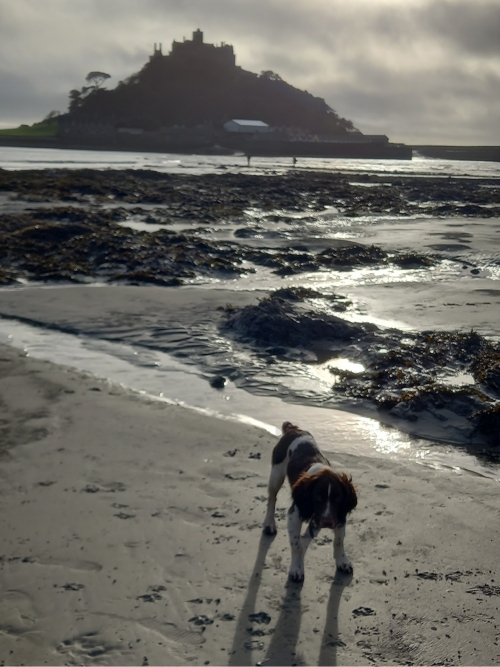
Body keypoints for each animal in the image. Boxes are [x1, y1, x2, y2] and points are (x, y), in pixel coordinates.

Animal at [264, 422, 358, 584]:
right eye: (318, 497)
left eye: (338, 498)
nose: (327, 522)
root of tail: (293, 428)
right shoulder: (294, 515)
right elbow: (296, 545)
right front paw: (296, 569)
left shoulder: (339, 515)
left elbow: (338, 541)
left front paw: (342, 561)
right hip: (276, 474)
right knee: (272, 498)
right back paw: (269, 524)